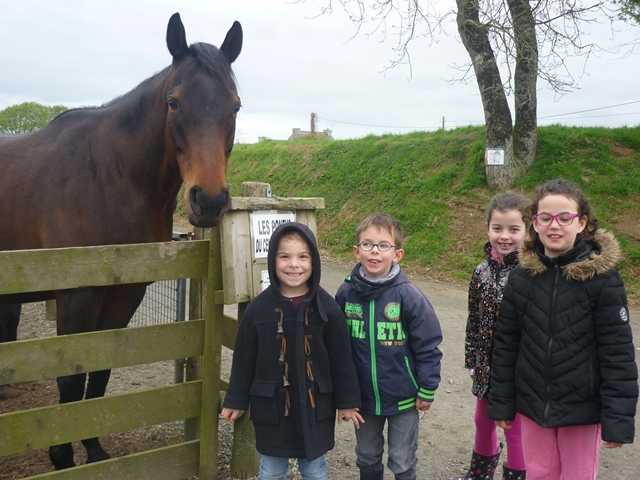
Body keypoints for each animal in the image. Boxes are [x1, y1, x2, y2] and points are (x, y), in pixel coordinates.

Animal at [0, 13, 242, 470]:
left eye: (235, 105)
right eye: (173, 102)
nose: (209, 200)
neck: (110, 174)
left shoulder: (124, 295)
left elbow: (100, 374)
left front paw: (94, 450)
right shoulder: (76, 296)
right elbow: (71, 377)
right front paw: (62, 457)